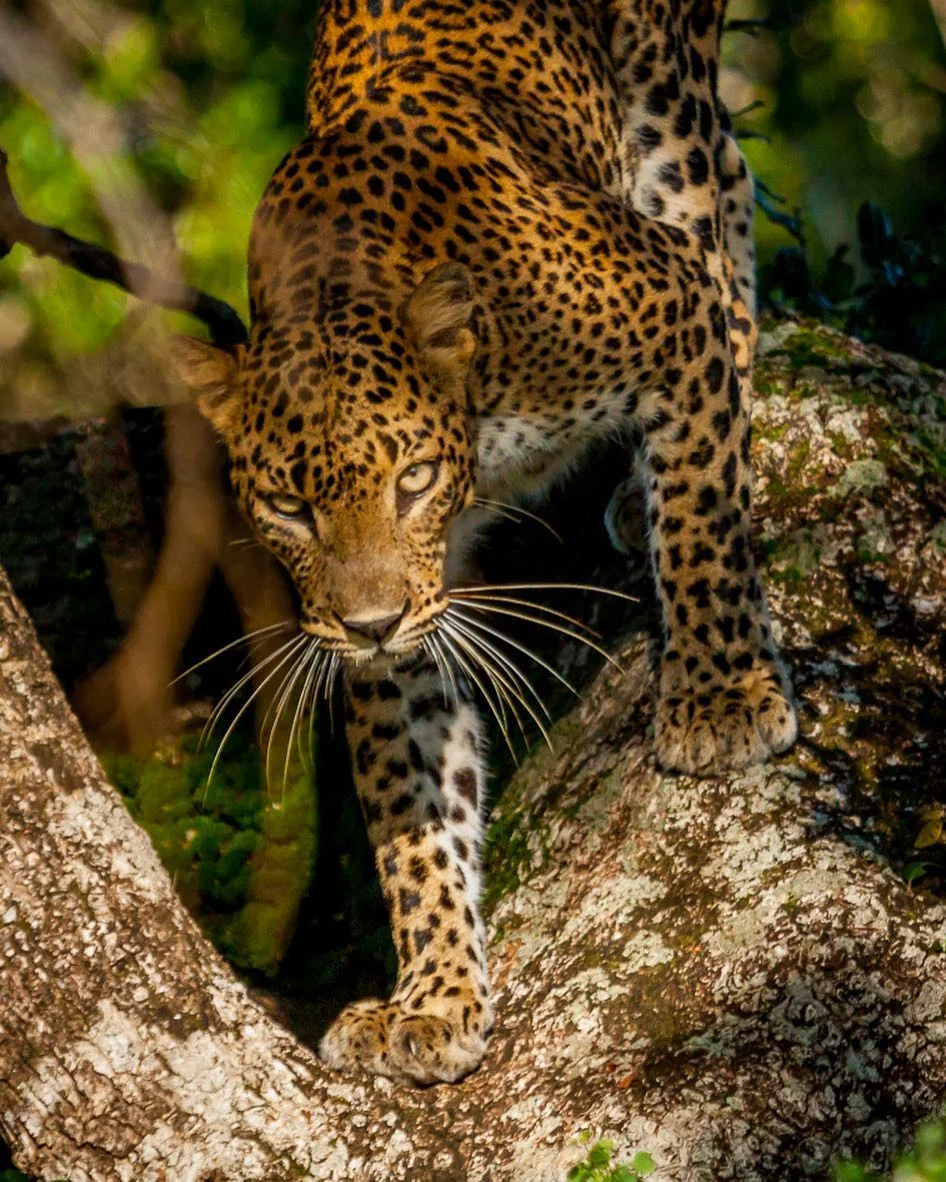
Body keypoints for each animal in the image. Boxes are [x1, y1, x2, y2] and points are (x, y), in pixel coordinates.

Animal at [171, 0, 798, 1086]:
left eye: (411, 480)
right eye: (290, 507)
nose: (371, 624)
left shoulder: (665, 302)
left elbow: (704, 515)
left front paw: (719, 701)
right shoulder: (399, 621)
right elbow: (414, 813)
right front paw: (432, 1000)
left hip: (666, 87)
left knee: (718, 174)